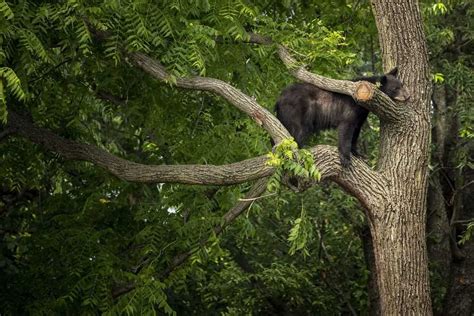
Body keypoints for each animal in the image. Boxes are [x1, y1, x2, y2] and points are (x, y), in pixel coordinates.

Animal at [276, 67, 410, 167]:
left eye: (402, 84)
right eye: (396, 88)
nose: (408, 96)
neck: (363, 104)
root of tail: (279, 99)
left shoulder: (361, 114)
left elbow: (356, 131)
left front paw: (357, 153)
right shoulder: (350, 107)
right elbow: (346, 128)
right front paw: (346, 158)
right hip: (296, 112)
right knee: (296, 131)